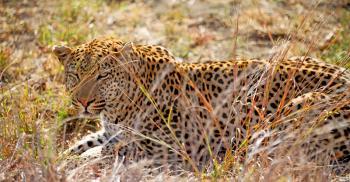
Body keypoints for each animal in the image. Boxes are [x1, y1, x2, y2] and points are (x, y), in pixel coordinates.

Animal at [52, 37, 350, 173]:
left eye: (102, 76)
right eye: (75, 74)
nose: (83, 102)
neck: (116, 108)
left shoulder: (172, 147)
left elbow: (110, 151)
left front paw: (83, 161)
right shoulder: (111, 131)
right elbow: (86, 142)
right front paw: (63, 156)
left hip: (302, 105)